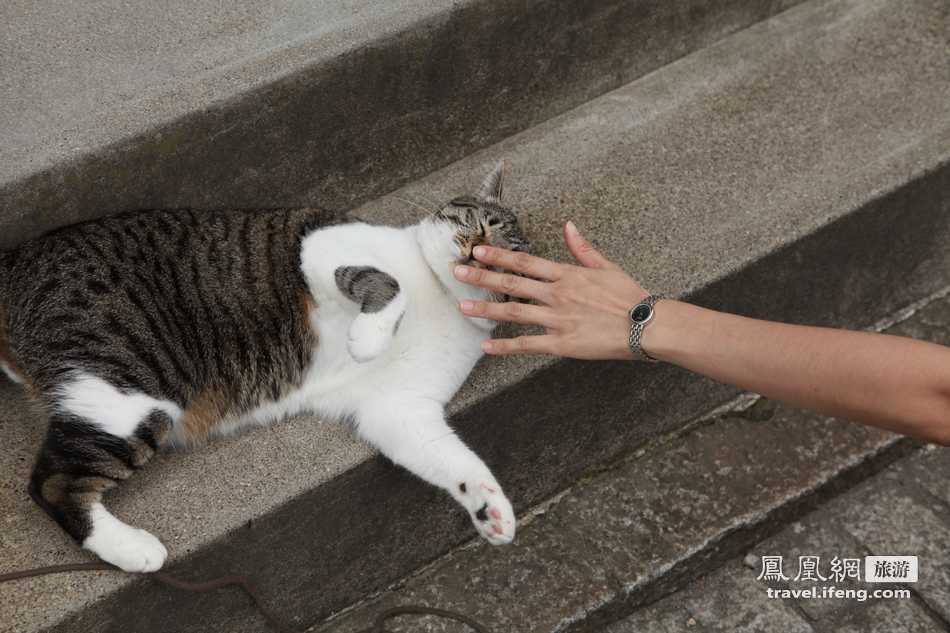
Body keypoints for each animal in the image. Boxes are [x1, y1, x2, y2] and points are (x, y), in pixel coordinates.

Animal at [0, 160, 528, 572]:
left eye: (507, 265)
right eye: (481, 224)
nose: (476, 253)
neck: (442, 297)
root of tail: (15, 263)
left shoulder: (399, 409)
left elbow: (457, 460)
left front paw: (492, 510)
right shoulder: (321, 247)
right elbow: (387, 283)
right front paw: (368, 338)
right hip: (133, 387)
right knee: (50, 485)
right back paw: (135, 549)